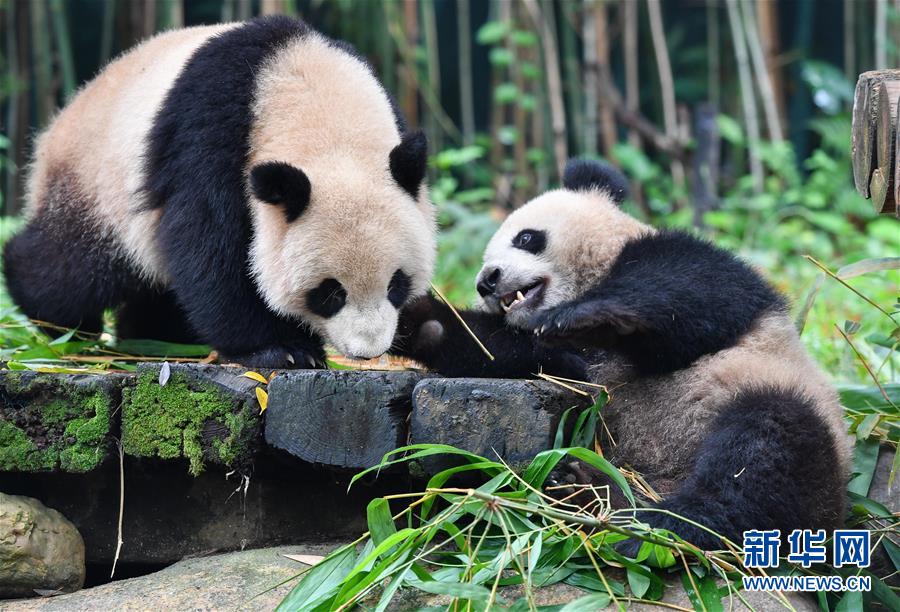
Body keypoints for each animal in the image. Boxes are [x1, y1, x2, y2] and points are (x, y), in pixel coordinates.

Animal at [2, 16, 432, 366]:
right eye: (329, 293)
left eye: (396, 284)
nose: (368, 351)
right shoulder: (211, 131)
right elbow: (207, 242)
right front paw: (281, 349)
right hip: (98, 185)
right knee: (75, 267)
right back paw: (55, 320)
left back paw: (155, 335)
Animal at [394, 160, 852, 552]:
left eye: (525, 237)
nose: (487, 281)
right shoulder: (564, 357)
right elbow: (510, 350)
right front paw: (419, 321)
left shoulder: (706, 270)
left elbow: (691, 295)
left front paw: (589, 315)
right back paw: (581, 489)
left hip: (778, 397)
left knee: (760, 453)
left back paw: (665, 527)